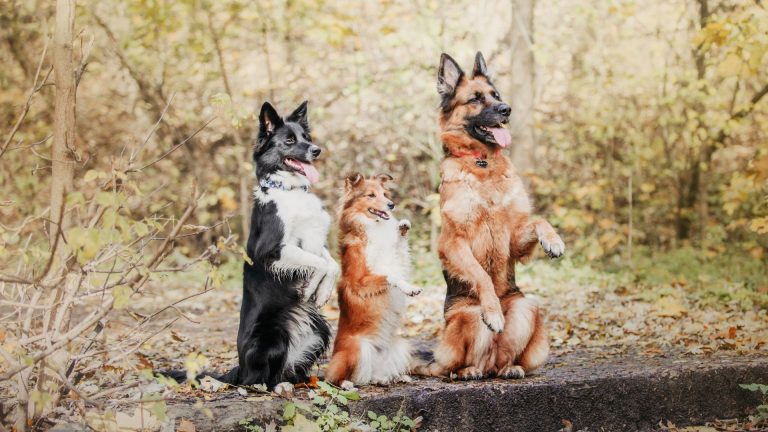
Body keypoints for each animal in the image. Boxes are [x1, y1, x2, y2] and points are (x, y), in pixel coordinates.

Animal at [214, 100, 338, 388]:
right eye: (289, 140)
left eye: (307, 137)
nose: (317, 150)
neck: (290, 191)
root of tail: (240, 368)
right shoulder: (272, 250)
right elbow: (318, 263)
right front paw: (312, 288)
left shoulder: (315, 239)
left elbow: (332, 264)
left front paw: (323, 291)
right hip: (273, 336)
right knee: (260, 379)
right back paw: (278, 386)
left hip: (318, 328)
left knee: (290, 368)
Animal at [324, 172, 420, 384]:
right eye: (370, 195)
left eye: (385, 194)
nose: (391, 205)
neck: (373, 228)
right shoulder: (358, 281)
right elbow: (390, 275)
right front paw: (409, 288)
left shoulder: (398, 260)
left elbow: (399, 252)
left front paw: (402, 227)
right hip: (356, 348)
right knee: (339, 377)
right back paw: (346, 384)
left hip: (401, 344)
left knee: (372, 376)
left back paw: (393, 378)